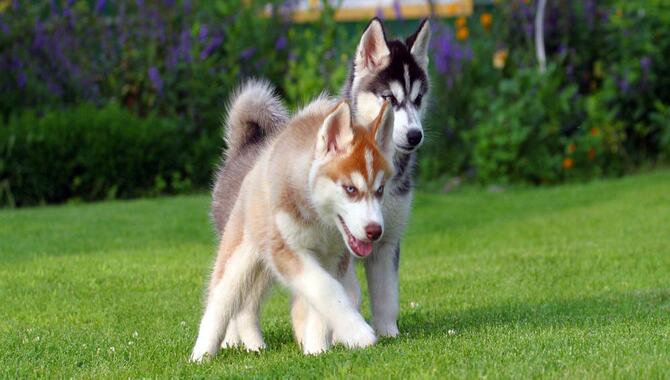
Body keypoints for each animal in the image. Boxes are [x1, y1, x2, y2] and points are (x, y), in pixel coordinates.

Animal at [190, 98, 394, 362]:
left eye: (380, 190)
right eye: (350, 189)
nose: (375, 231)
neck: (319, 219)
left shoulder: (332, 258)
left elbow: (324, 300)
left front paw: (317, 349)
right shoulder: (285, 250)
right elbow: (324, 288)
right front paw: (358, 333)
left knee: (246, 309)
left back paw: (256, 346)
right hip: (239, 257)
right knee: (219, 301)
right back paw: (201, 354)